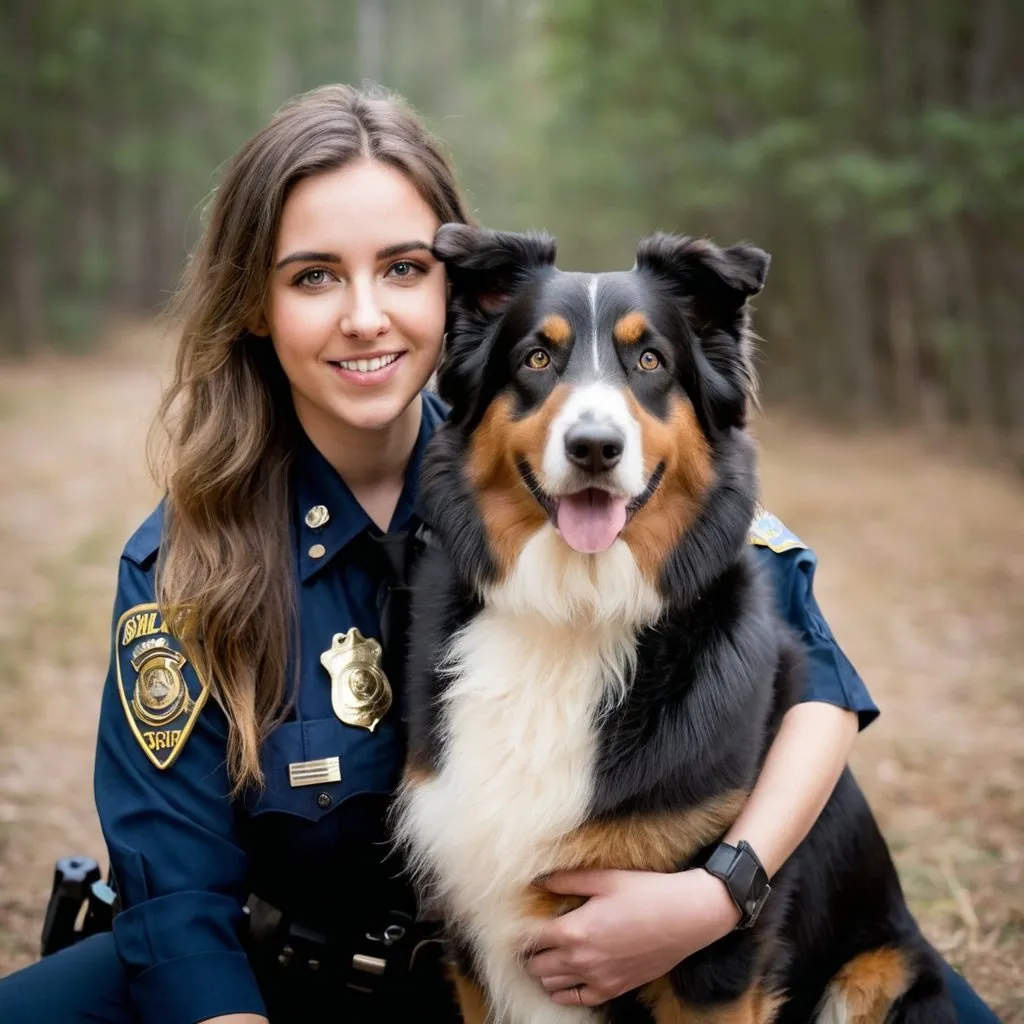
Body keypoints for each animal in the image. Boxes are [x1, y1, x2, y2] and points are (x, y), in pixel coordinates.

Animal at [393, 226, 958, 1024]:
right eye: (536, 358)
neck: (577, 609)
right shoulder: (468, 934)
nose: (594, 447)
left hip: (880, 972)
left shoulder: (710, 960)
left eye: (650, 360)